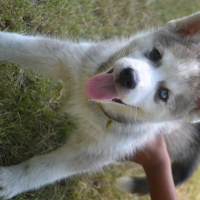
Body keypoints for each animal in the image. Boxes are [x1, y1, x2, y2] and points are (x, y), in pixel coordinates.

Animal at [0, 12, 200, 198]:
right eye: (155, 54)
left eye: (164, 94)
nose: (128, 76)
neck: (95, 105)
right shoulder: (66, 58)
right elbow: (14, 44)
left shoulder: (95, 150)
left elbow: (44, 169)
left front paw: (12, 180)